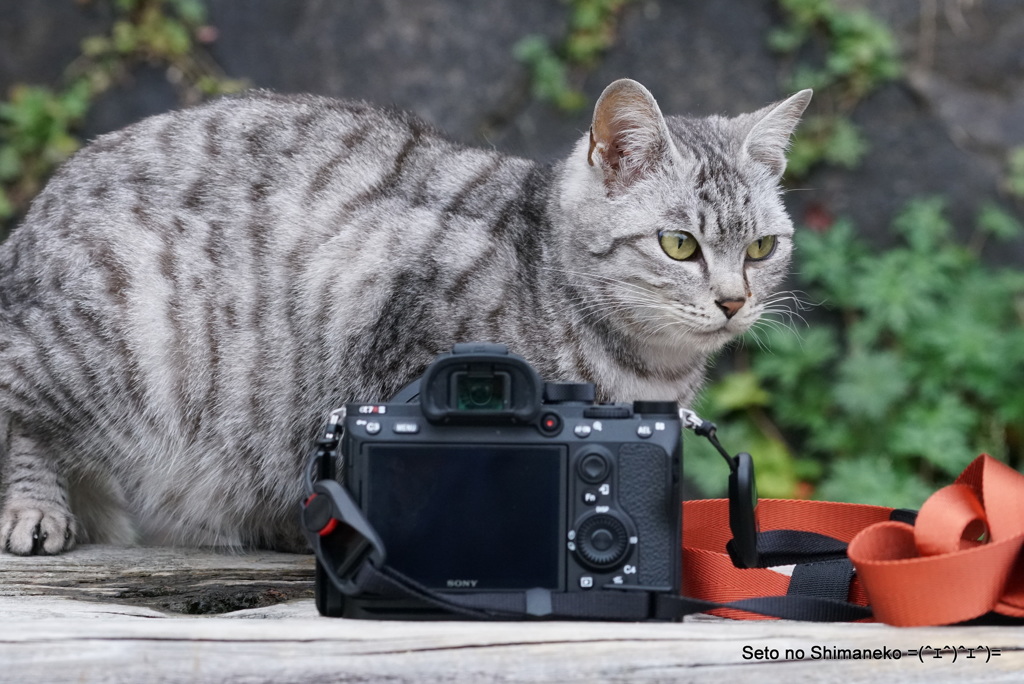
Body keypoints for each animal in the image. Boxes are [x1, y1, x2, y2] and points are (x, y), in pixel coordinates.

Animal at [0, 77, 806, 552]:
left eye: (762, 247)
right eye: (680, 245)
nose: (734, 301)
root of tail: (34, 217)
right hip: (114, 337)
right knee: (22, 411)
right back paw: (35, 511)